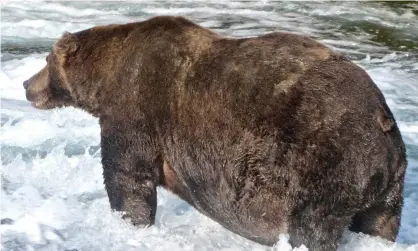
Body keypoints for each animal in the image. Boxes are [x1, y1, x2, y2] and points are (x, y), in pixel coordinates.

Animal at [22, 16, 404, 251]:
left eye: (46, 60)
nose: (26, 85)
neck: (104, 79)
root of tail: (381, 117)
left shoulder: (136, 108)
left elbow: (127, 176)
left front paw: (129, 222)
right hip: (386, 184)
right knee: (379, 223)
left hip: (323, 162)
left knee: (311, 227)